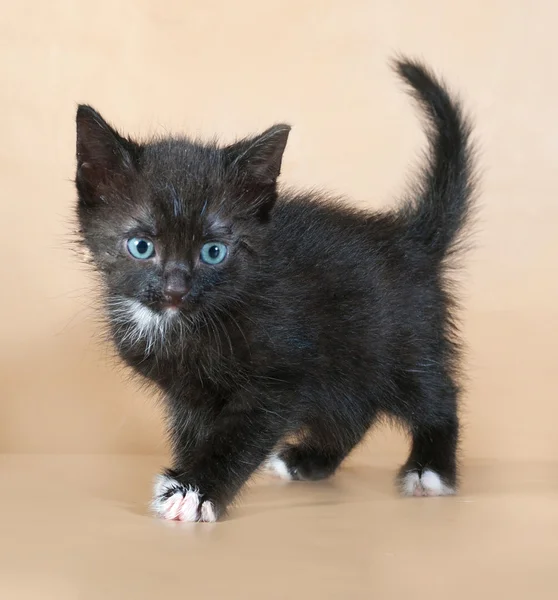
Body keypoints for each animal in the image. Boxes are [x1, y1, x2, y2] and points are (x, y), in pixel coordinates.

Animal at [74, 58, 476, 524]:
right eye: (141, 246)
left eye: (213, 251)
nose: (176, 288)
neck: (184, 326)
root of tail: (410, 238)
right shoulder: (187, 393)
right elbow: (194, 434)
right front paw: (187, 475)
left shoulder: (281, 377)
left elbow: (237, 437)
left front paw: (195, 491)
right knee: (352, 411)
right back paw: (311, 460)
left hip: (401, 343)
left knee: (436, 395)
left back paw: (431, 469)